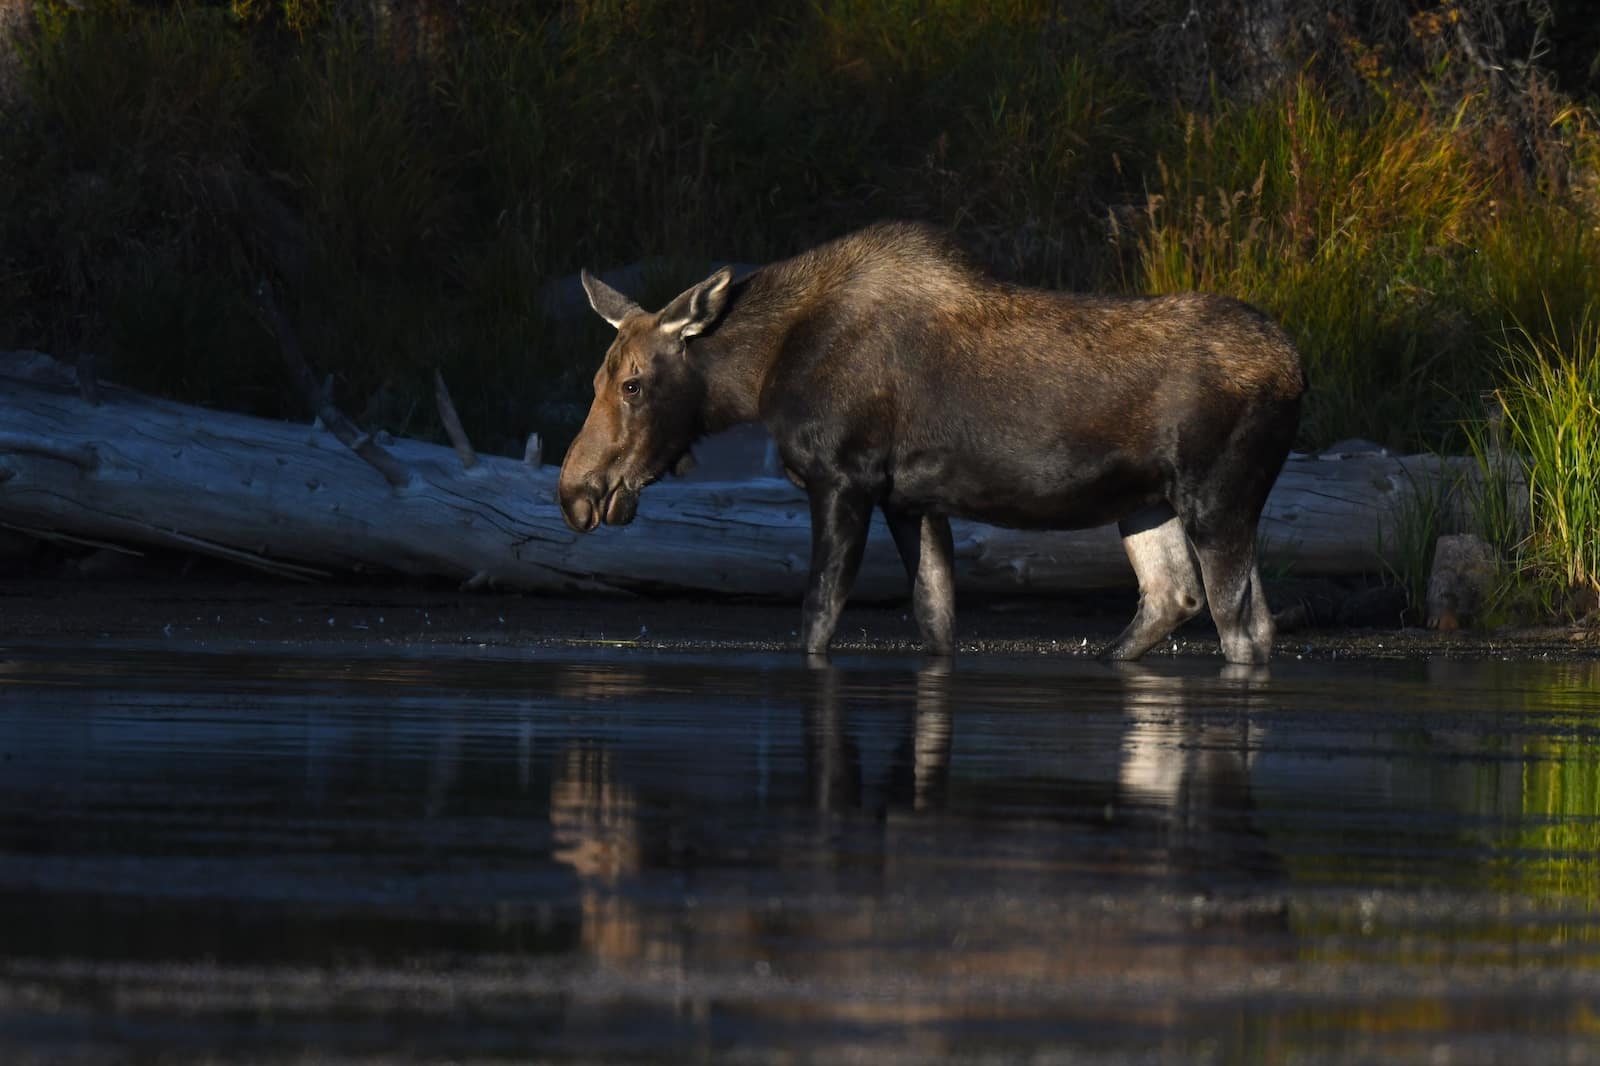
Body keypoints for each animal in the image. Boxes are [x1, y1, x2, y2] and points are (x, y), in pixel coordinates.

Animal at [556, 219, 1305, 659]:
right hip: (1148, 502)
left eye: (632, 384)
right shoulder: (910, 501)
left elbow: (818, 614)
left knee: (1240, 625)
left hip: (1219, 497)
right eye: (596, 378)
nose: (575, 491)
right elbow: (935, 618)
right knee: (1176, 597)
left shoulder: (843, 479)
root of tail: (1298, 368)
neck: (762, 374)